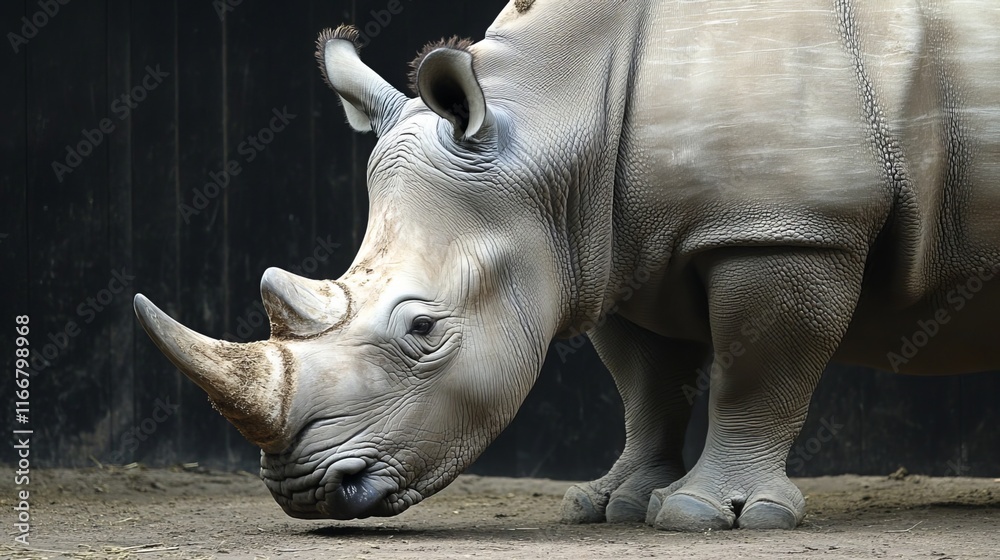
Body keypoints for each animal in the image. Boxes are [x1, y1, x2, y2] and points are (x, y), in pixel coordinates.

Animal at [133, 0, 1000, 531]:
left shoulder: (788, 230)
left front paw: (711, 517)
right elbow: (646, 385)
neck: (560, 113)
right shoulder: (613, 243)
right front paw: (611, 504)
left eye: (423, 329)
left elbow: (759, 375)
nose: (309, 494)